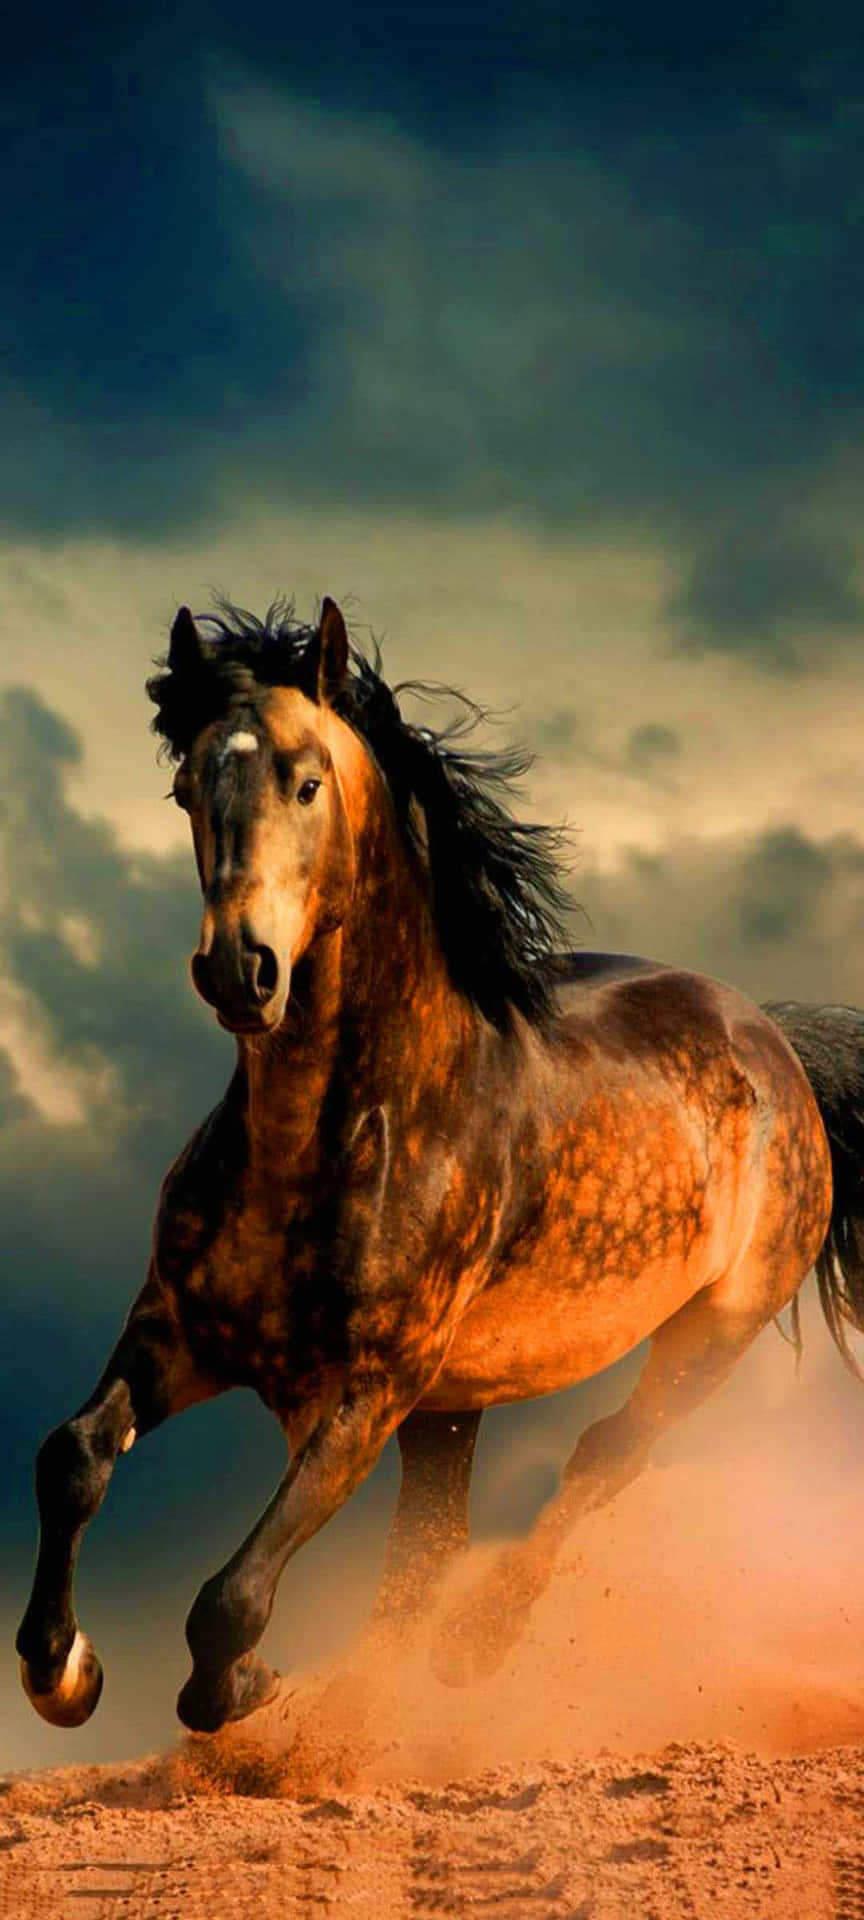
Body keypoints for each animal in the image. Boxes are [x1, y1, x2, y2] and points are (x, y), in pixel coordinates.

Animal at [16, 595, 864, 1735]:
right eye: (186, 787)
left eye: (306, 781)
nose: (239, 970)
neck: (326, 1142)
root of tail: (776, 1043)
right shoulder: (178, 1332)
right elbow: (71, 1457)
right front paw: (63, 1670)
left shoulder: (364, 1393)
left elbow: (230, 1599)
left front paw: (245, 1686)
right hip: (454, 1405)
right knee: (432, 1546)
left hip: (708, 1336)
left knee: (603, 1457)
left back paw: (474, 1647)